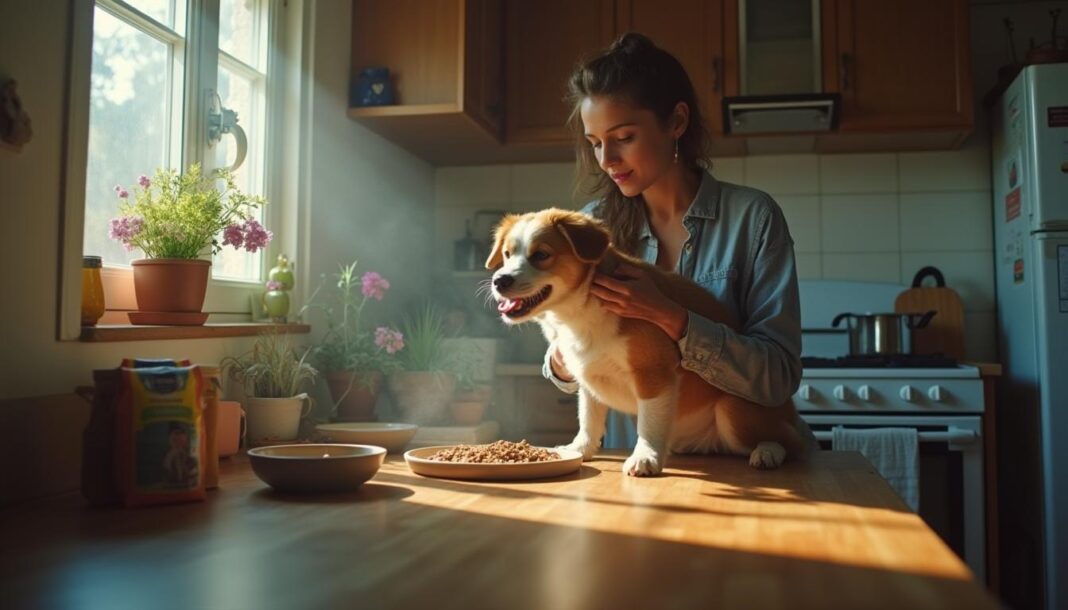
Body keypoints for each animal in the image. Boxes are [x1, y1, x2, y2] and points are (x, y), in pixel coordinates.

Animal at [484, 209, 807, 476]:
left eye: (541, 255)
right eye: (507, 254)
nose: (499, 281)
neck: (580, 311)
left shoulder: (653, 374)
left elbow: (648, 422)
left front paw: (646, 457)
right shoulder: (589, 377)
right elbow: (588, 419)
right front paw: (580, 450)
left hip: (732, 410)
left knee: (791, 442)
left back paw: (767, 452)